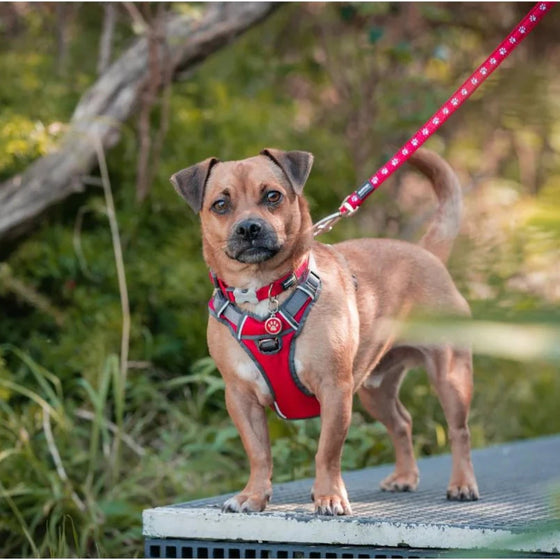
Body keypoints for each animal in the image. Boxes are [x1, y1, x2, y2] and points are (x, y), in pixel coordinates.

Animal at [171, 149, 476, 516]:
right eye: (220, 204)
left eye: (272, 196)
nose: (249, 227)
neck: (265, 295)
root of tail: (427, 252)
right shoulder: (241, 397)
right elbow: (259, 453)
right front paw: (253, 495)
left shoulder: (334, 390)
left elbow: (327, 452)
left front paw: (329, 496)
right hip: (375, 390)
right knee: (402, 422)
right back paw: (404, 476)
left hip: (450, 377)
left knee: (459, 431)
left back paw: (462, 484)